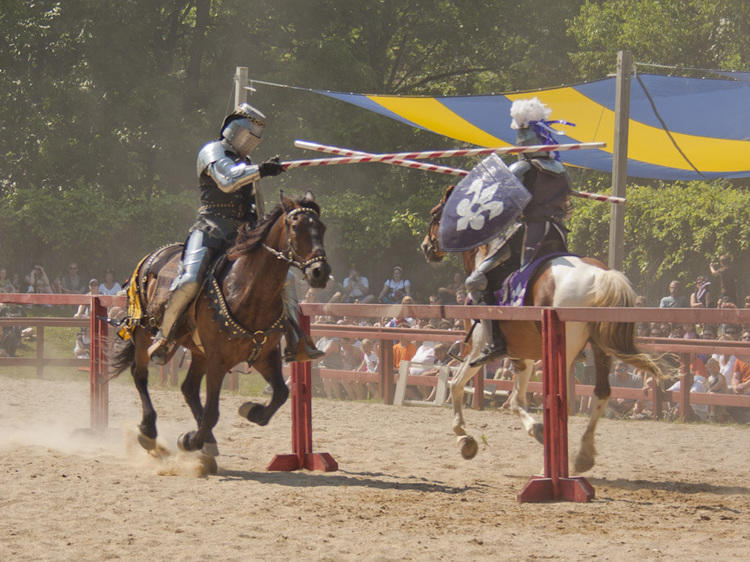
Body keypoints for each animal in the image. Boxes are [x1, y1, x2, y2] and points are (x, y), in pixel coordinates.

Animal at [111, 192, 328, 468]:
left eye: (321, 228)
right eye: (295, 227)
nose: (320, 272)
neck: (246, 290)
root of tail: (155, 254)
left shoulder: (265, 356)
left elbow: (281, 393)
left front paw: (252, 411)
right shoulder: (218, 360)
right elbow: (213, 412)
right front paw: (190, 440)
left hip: (198, 352)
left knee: (189, 389)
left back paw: (208, 443)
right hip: (144, 334)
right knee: (140, 375)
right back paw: (149, 432)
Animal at [420, 186, 660, 470]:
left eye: (435, 213)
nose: (426, 246)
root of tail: (601, 276)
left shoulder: (480, 349)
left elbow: (457, 384)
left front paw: (464, 436)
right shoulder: (522, 356)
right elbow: (516, 400)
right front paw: (537, 430)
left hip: (567, 349)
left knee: (563, 399)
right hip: (599, 347)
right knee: (601, 393)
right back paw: (583, 454)